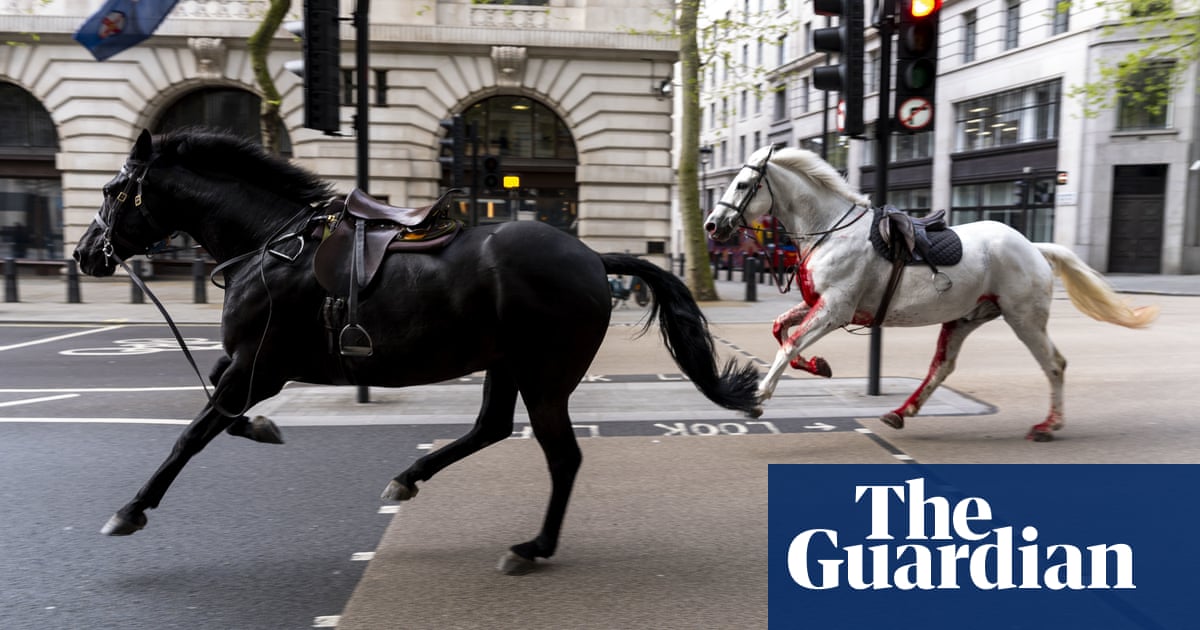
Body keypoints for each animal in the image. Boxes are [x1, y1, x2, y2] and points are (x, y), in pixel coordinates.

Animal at [72, 130, 758, 571]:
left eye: (111, 190)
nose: (82, 255)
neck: (271, 244)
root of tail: (592, 256)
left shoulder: (260, 366)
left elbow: (194, 432)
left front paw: (131, 509)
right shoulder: (247, 365)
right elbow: (220, 408)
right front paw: (265, 428)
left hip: (545, 376)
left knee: (562, 457)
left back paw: (532, 547)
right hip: (506, 364)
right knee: (490, 428)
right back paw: (409, 478)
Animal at [705, 145, 1156, 439]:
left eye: (743, 184)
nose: (711, 225)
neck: (830, 230)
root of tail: (1033, 246)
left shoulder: (835, 309)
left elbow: (790, 343)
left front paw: (758, 396)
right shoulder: (820, 304)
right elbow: (781, 330)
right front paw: (819, 365)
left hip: (1024, 318)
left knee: (1055, 364)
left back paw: (1049, 424)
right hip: (965, 318)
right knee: (942, 367)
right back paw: (902, 412)